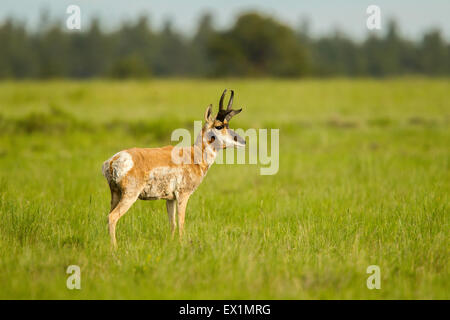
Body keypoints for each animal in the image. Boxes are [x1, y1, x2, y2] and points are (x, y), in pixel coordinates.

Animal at [102, 90, 246, 248]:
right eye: (219, 126)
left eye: (228, 124)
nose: (243, 141)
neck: (193, 155)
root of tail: (113, 160)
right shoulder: (183, 195)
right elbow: (181, 222)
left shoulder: (170, 199)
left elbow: (173, 223)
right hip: (130, 196)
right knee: (112, 217)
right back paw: (114, 247)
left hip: (115, 195)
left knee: (108, 216)